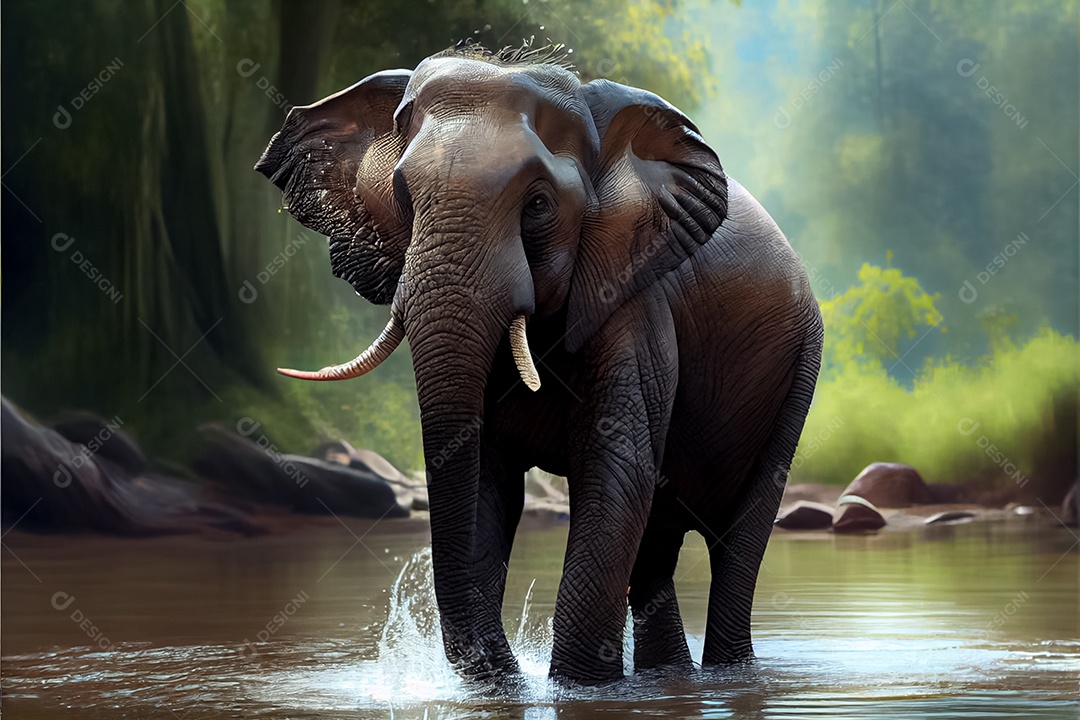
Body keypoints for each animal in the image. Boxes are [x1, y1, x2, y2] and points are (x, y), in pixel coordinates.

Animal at [256, 43, 823, 685]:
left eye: (538, 205)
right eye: (402, 198)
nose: (503, 671)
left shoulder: (631, 298)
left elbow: (615, 469)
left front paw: (578, 687)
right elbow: (488, 478)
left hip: (801, 368)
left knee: (736, 539)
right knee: (656, 542)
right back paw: (669, 679)